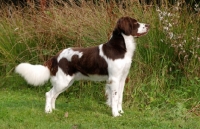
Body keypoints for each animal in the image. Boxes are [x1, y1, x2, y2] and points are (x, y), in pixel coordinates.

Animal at [15, 16, 149, 117]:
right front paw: (115, 114)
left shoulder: (122, 78)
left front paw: (120, 112)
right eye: (135, 23)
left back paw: (54, 110)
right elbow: (115, 98)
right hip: (63, 81)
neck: (121, 47)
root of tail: (56, 56)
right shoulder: (114, 79)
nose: (148, 25)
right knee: (49, 94)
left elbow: (119, 97)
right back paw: (48, 111)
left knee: (54, 95)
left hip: (66, 82)